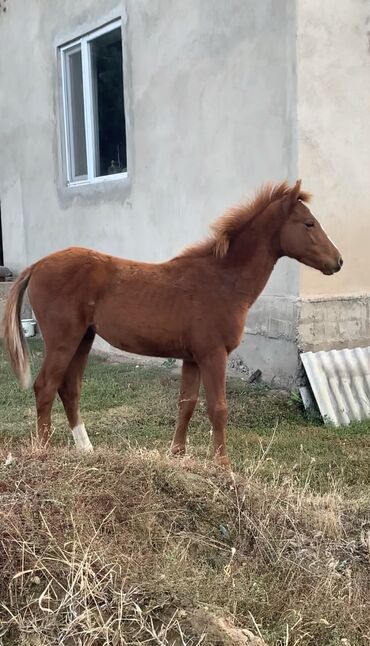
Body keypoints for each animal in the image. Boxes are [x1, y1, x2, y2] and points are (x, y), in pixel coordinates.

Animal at [3, 181, 344, 466]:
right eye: (309, 223)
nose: (338, 261)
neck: (222, 279)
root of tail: (37, 265)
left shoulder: (192, 358)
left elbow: (187, 404)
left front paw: (177, 454)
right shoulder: (213, 354)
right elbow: (218, 408)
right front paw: (224, 468)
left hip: (83, 339)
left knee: (69, 389)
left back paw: (86, 450)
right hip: (63, 340)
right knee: (45, 387)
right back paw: (44, 451)